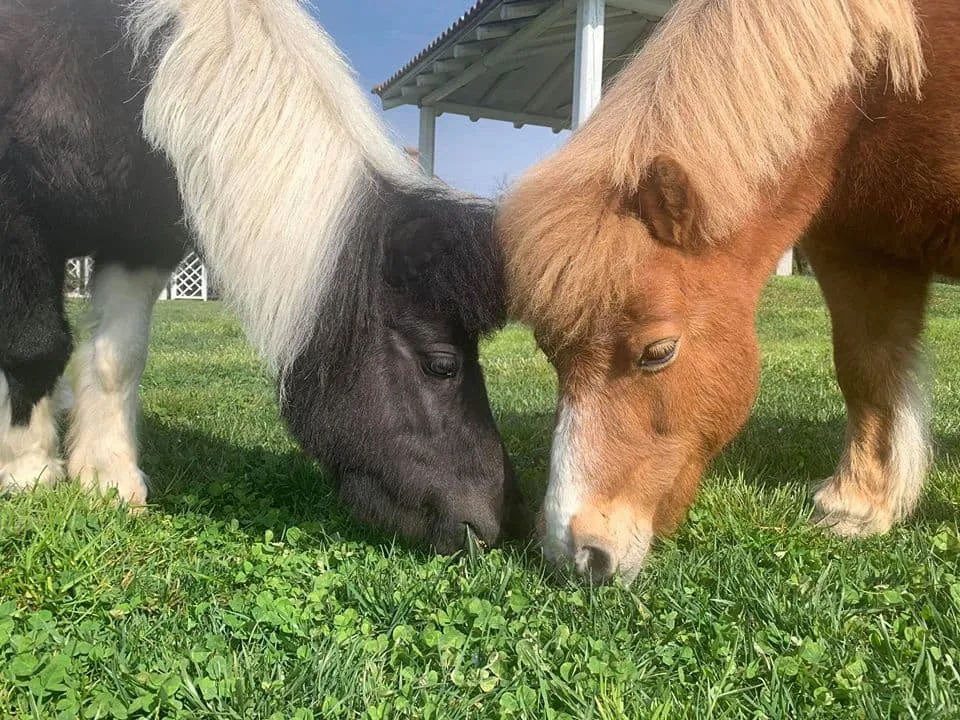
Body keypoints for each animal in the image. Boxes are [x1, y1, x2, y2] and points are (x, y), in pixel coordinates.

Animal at [0, 0, 529, 553]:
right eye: (442, 366)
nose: (500, 523)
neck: (110, 70)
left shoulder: (139, 243)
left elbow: (115, 360)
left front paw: (107, 476)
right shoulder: (17, 223)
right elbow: (35, 345)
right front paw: (29, 468)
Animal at [497, 0, 955, 583]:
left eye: (659, 352)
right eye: (551, 355)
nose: (576, 554)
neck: (881, 91)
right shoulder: (855, 249)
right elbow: (867, 370)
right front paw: (858, 505)